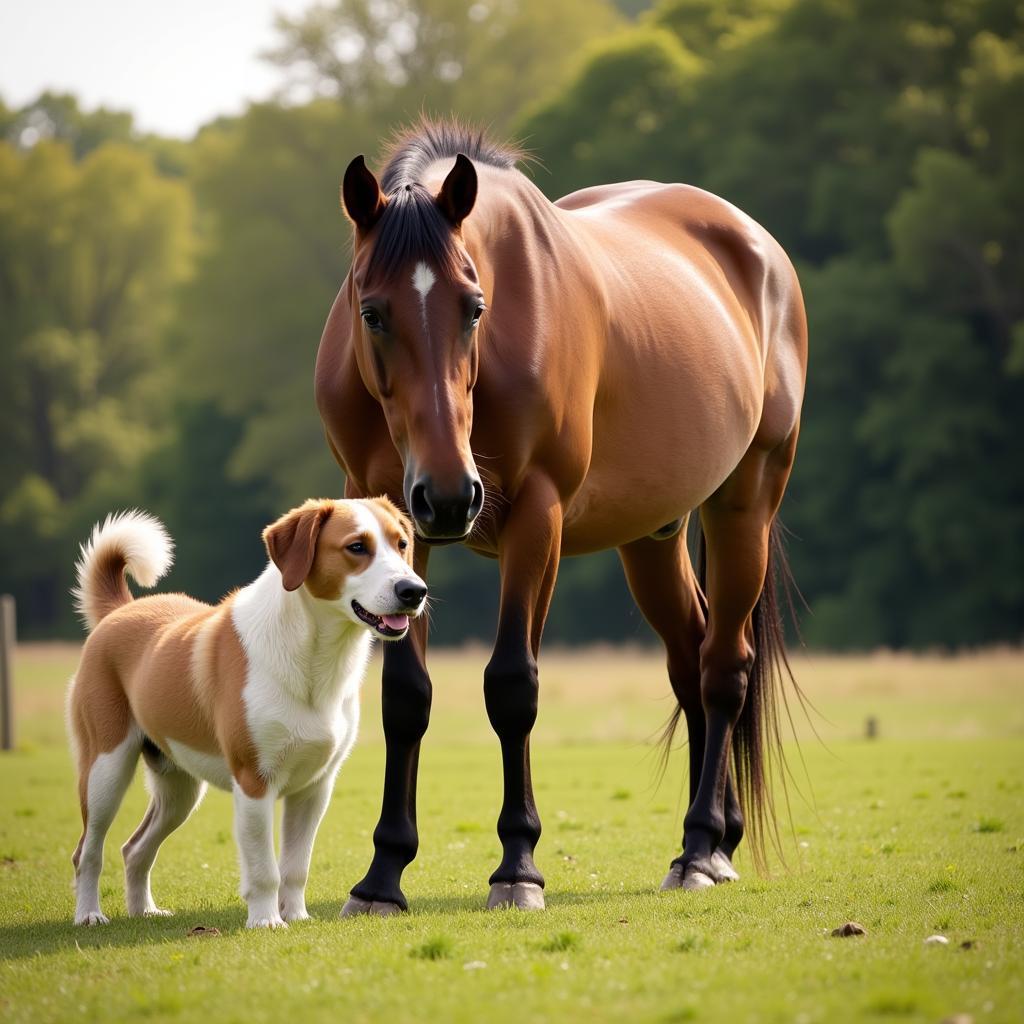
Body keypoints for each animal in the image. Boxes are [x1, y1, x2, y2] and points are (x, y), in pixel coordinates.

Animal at [65, 495, 423, 929]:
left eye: (402, 544)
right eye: (357, 546)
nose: (414, 590)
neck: (313, 655)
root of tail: (121, 610)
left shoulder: (314, 788)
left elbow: (296, 867)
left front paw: (297, 916)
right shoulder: (255, 782)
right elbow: (264, 868)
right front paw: (267, 921)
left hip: (179, 791)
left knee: (135, 848)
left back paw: (144, 910)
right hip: (106, 771)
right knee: (88, 851)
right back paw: (89, 914)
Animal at [311, 119, 806, 913]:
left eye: (474, 307)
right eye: (372, 311)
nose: (449, 496)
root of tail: (758, 246)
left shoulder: (535, 520)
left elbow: (512, 686)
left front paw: (517, 867)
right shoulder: (397, 523)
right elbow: (404, 698)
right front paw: (384, 875)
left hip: (746, 504)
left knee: (724, 669)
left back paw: (699, 848)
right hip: (652, 536)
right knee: (691, 661)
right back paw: (718, 842)